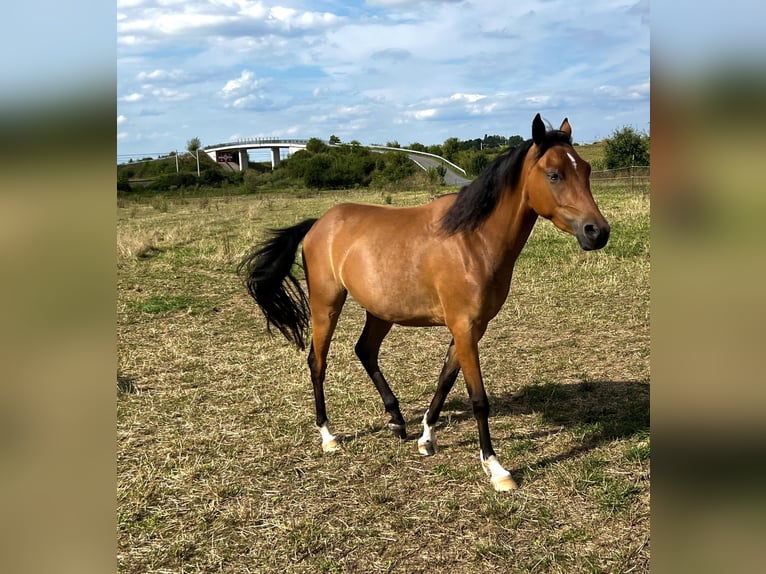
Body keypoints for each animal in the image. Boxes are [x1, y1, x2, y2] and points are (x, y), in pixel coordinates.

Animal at [240, 115, 612, 492]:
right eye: (554, 174)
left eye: (586, 169)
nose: (597, 232)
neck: (473, 240)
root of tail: (320, 224)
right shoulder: (464, 327)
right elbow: (478, 399)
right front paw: (496, 468)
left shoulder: (471, 328)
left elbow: (444, 381)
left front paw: (427, 439)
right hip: (326, 304)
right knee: (318, 362)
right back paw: (329, 436)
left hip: (380, 311)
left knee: (365, 351)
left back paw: (396, 420)